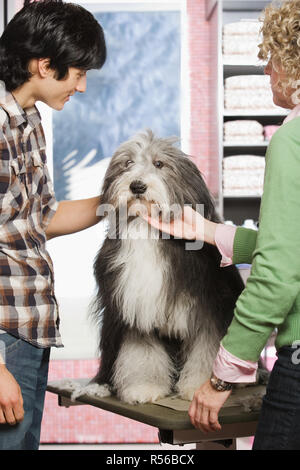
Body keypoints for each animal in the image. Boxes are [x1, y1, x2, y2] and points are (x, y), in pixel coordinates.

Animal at [81, 129, 246, 404]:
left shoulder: (208, 310)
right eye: (127, 163)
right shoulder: (136, 309)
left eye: (159, 164)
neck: (146, 231)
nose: (137, 186)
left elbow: (206, 349)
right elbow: (141, 352)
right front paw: (144, 387)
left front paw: (197, 387)